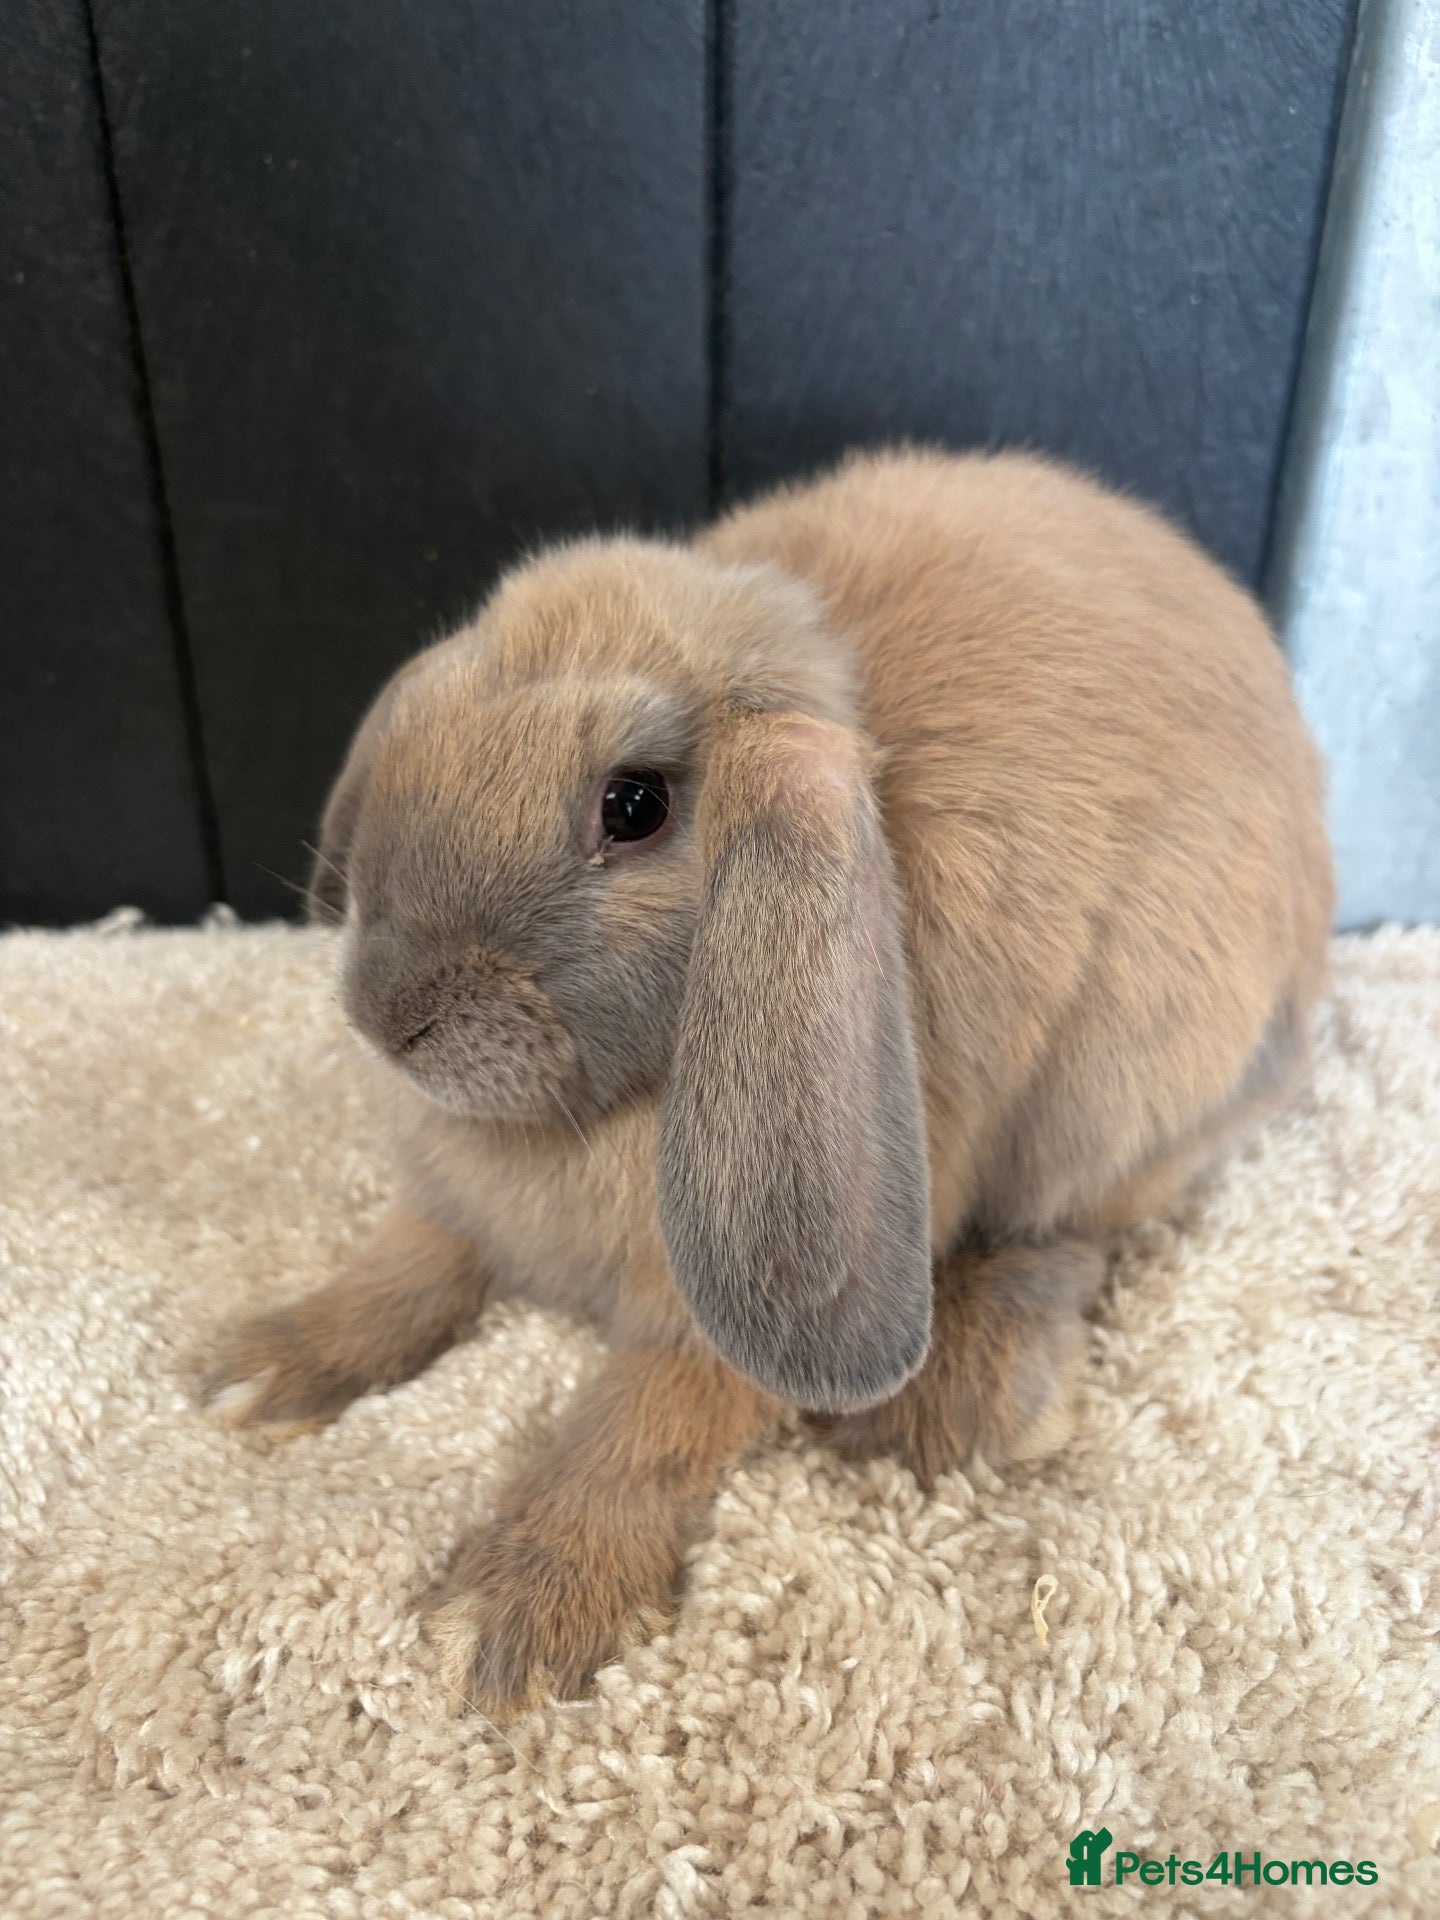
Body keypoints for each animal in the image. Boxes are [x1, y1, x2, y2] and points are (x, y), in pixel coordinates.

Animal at [202, 446, 1334, 1716]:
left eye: (634, 805)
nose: (389, 1016)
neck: (599, 1111)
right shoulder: (456, 1210)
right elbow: (402, 1272)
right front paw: (260, 1371)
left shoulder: (712, 1325)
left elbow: (641, 1428)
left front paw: (514, 1616)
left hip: (1124, 1101)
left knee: (1078, 1227)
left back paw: (972, 1398)